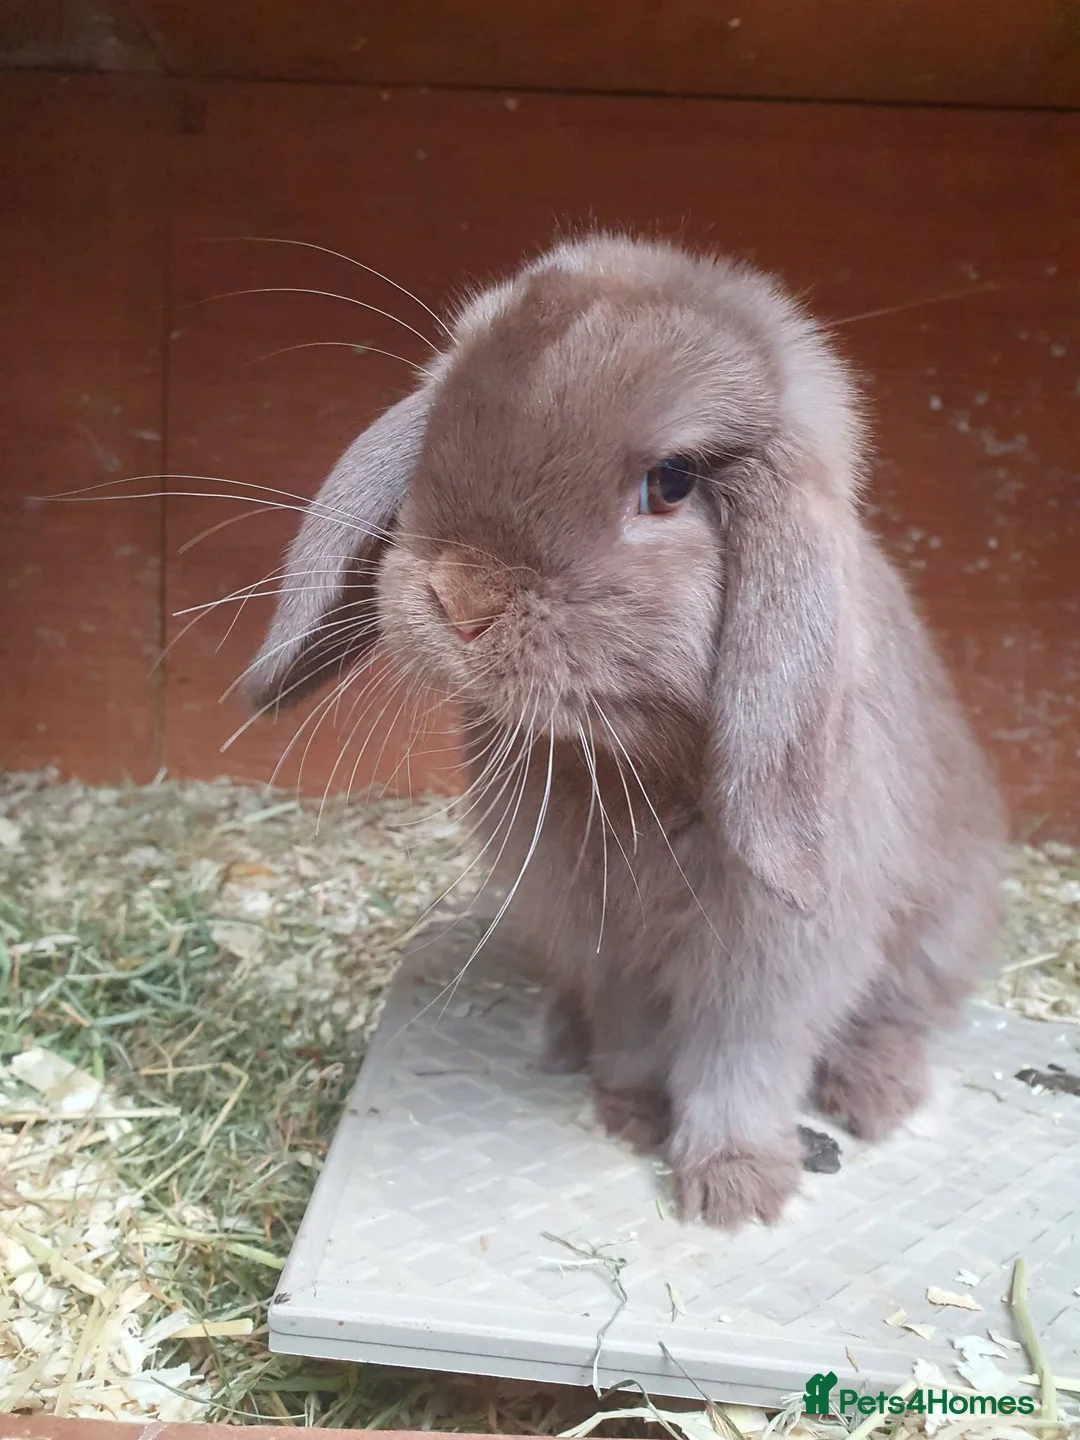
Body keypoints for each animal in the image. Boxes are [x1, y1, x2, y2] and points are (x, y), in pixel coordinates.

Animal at [246, 234, 1007, 1229]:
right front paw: (632, 1113)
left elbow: (741, 1067)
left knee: (904, 1012)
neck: (631, 764)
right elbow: (638, 1034)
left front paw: (737, 1191)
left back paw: (875, 1094)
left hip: (940, 929)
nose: (462, 597)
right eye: (446, 419)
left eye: (670, 483)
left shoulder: (776, 960)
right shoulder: (606, 940)